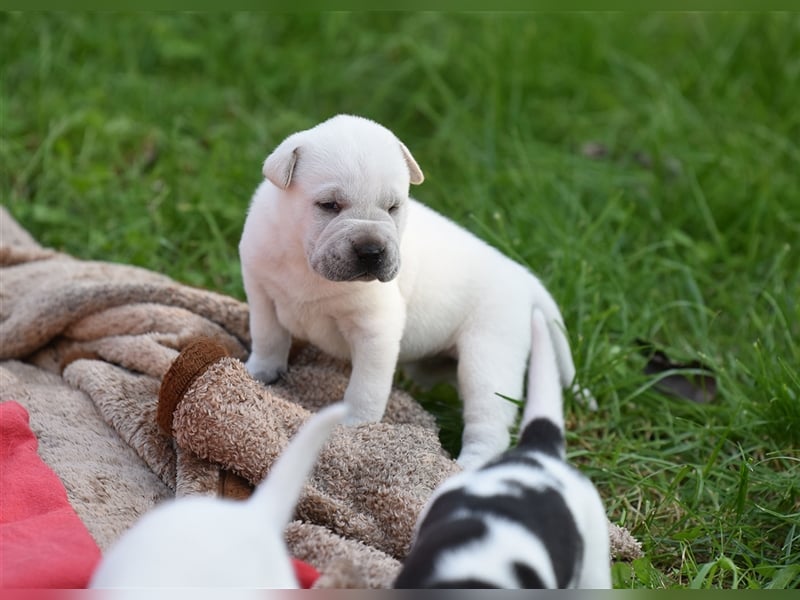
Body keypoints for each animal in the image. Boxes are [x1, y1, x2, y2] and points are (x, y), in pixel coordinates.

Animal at [241, 113, 584, 468]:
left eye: (393, 207)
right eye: (329, 205)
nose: (371, 251)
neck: (304, 261)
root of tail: (526, 279)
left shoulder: (376, 330)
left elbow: (366, 387)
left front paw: (355, 428)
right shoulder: (261, 292)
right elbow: (268, 337)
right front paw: (259, 374)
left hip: (489, 356)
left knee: (489, 423)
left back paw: (465, 466)